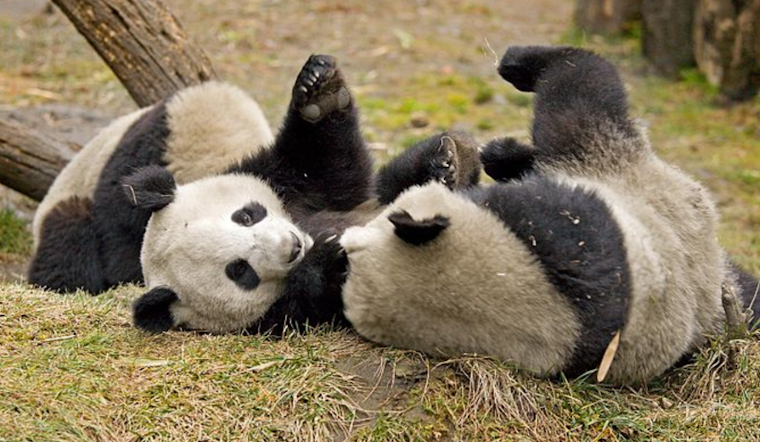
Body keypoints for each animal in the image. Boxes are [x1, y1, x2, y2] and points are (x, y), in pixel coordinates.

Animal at [125, 54, 482, 334]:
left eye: (245, 216)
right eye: (240, 271)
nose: (292, 245)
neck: (305, 227)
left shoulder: (283, 181)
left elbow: (328, 167)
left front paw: (320, 93)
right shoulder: (281, 314)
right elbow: (329, 292)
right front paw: (331, 253)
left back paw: (449, 161)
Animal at [339, 46, 760, 386]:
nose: (346, 237)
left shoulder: (566, 231)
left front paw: (449, 165)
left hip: (619, 167)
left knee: (577, 97)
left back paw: (519, 69)